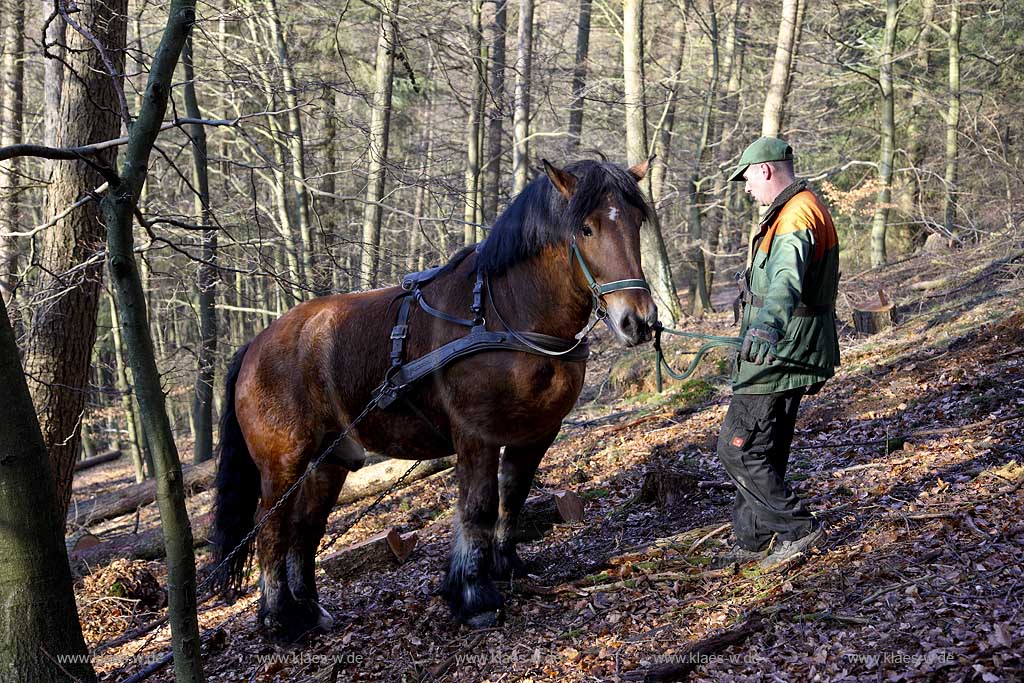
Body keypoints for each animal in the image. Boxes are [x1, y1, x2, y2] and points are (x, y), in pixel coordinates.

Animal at [211, 157, 659, 638]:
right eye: (586, 229)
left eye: (635, 221)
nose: (638, 321)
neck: (507, 314)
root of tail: (254, 346)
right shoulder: (477, 435)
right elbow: (477, 507)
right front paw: (473, 594)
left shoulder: (536, 433)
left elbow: (513, 495)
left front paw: (506, 566)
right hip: (283, 463)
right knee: (270, 529)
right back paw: (278, 618)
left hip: (328, 462)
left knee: (305, 529)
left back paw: (309, 611)